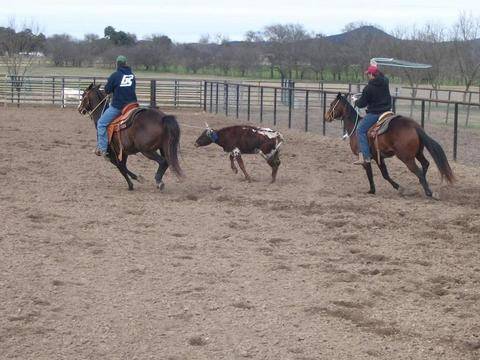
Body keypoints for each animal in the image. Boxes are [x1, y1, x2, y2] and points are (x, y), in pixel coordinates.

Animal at [324, 93, 456, 197]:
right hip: (418, 153)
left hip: (406, 157)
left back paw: (428, 192)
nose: (326, 117)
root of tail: (414, 126)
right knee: (425, 164)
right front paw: (397, 188)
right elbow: (385, 174)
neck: (355, 127)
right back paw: (422, 184)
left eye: (331, 104)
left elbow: (372, 174)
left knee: (418, 170)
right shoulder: (378, 157)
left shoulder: (366, 158)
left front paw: (373, 190)